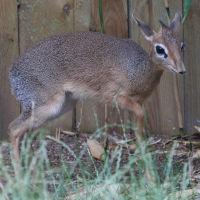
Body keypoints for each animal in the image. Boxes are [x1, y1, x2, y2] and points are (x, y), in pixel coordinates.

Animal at [9, 12, 184, 169]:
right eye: (160, 49)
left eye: (181, 45)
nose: (181, 69)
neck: (136, 69)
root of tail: (13, 71)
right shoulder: (114, 97)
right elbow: (140, 114)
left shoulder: (135, 102)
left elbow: (138, 126)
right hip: (47, 105)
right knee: (13, 128)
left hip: (61, 106)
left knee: (24, 132)